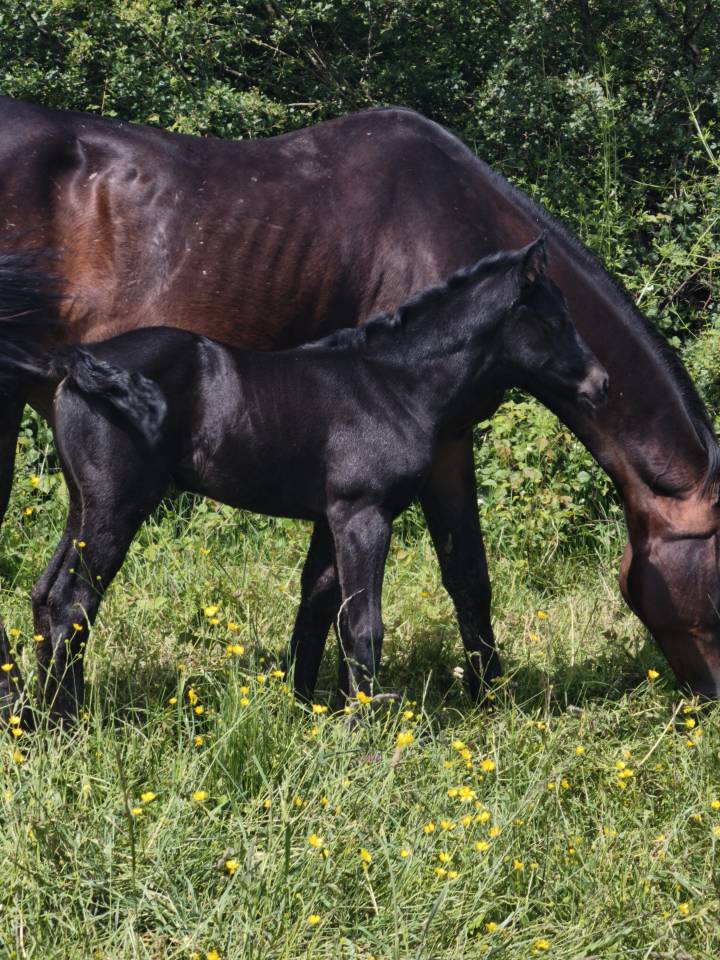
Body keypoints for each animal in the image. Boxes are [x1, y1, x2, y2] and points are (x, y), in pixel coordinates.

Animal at [0, 239, 608, 720]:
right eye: (555, 321)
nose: (600, 383)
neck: (394, 384)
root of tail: (71, 364)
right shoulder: (364, 515)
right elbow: (363, 625)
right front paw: (359, 732)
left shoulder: (330, 517)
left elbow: (320, 609)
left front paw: (311, 714)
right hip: (117, 509)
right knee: (72, 605)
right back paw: (69, 724)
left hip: (84, 504)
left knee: (44, 596)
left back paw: (43, 718)